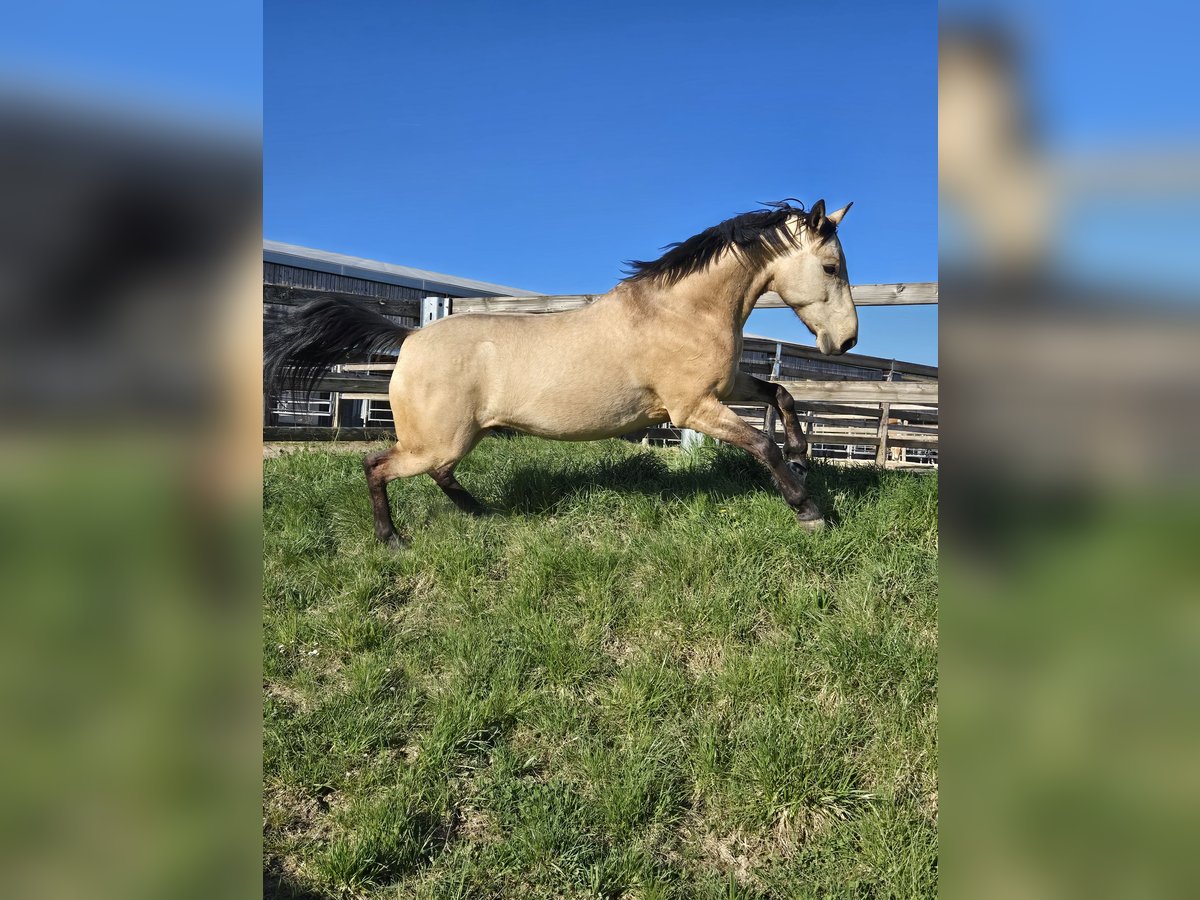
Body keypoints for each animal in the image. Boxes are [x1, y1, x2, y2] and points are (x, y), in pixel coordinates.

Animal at [266, 199, 857, 547]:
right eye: (831, 266)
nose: (847, 340)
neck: (678, 310)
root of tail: (409, 339)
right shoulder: (692, 408)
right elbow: (761, 444)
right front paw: (808, 509)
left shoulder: (724, 387)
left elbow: (781, 394)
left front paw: (804, 456)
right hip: (435, 441)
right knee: (376, 465)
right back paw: (393, 540)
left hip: (457, 438)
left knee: (439, 474)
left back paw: (482, 512)